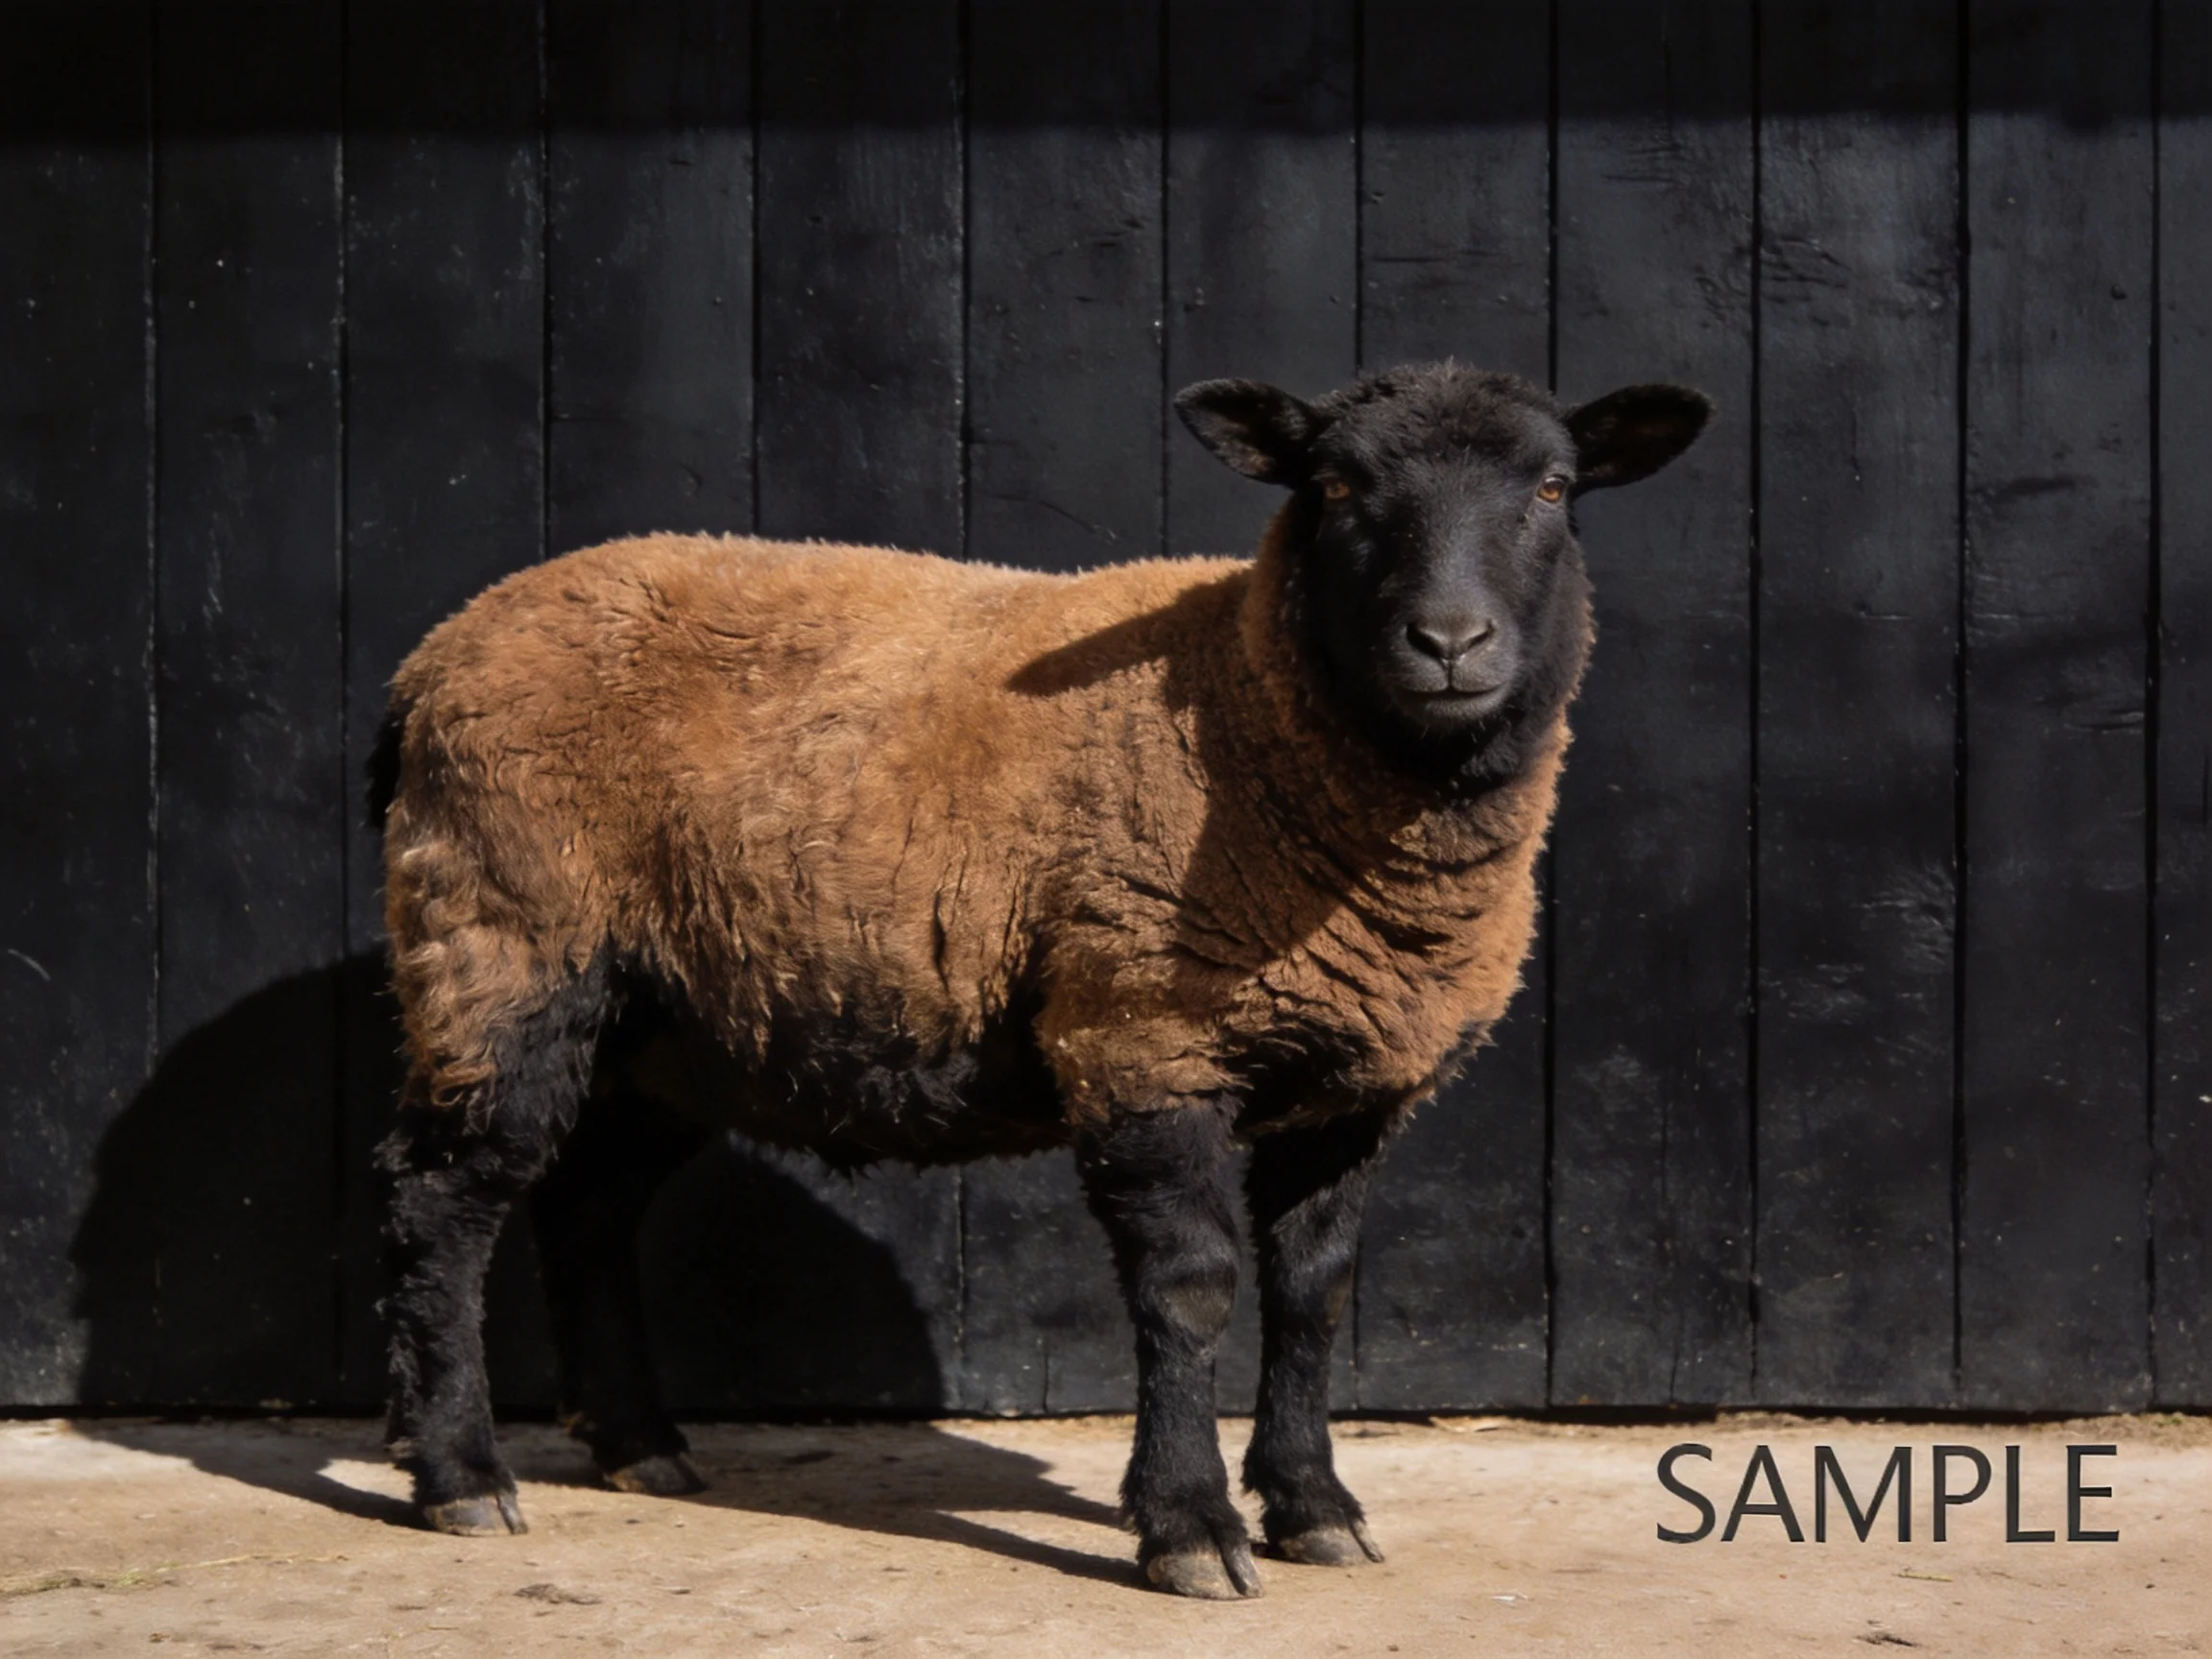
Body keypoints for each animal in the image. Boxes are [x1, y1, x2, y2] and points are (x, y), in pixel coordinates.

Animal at [372, 361, 1710, 1599]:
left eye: (1552, 489)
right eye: (1334, 488)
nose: (1449, 644)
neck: (1245, 705)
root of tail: (431, 659)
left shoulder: (1353, 1080)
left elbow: (1313, 1294)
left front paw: (1316, 1507)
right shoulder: (1142, 1032)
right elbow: (1193, 1288)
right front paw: (1192, 1529)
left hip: (669, 1025)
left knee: (587, 1204)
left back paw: (639, 1445)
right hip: (503, 941)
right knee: (442, 1204)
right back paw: (461, 1476)